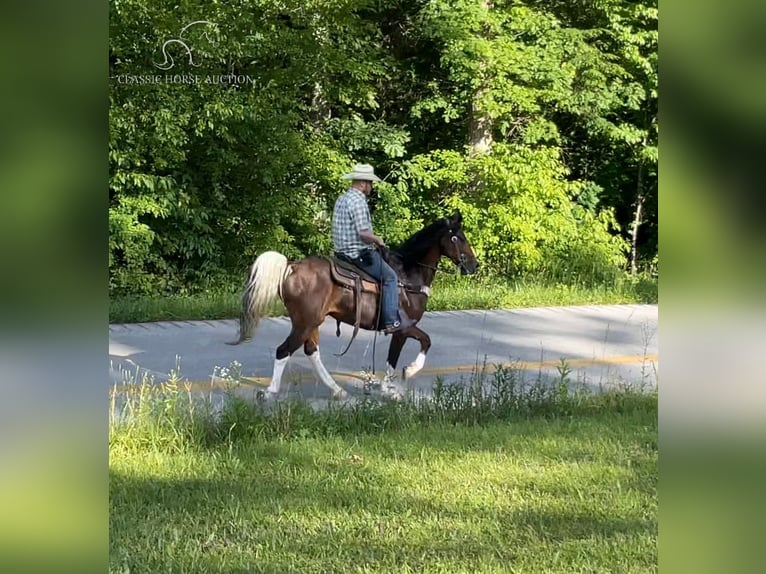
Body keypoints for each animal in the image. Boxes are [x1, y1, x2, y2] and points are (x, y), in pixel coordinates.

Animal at [230, 210, 480, 400]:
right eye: (459, 238)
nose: (474, 265)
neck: (409, 276)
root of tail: (290, 267)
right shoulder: (403, 327)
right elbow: (421, 344)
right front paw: (403, 377)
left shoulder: (401, 330)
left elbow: (397, 356)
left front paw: (389, 387)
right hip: (305, 322)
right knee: (284, 351)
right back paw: (269, 392)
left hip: (310, 322)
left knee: (311, 351)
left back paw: (337, 390)